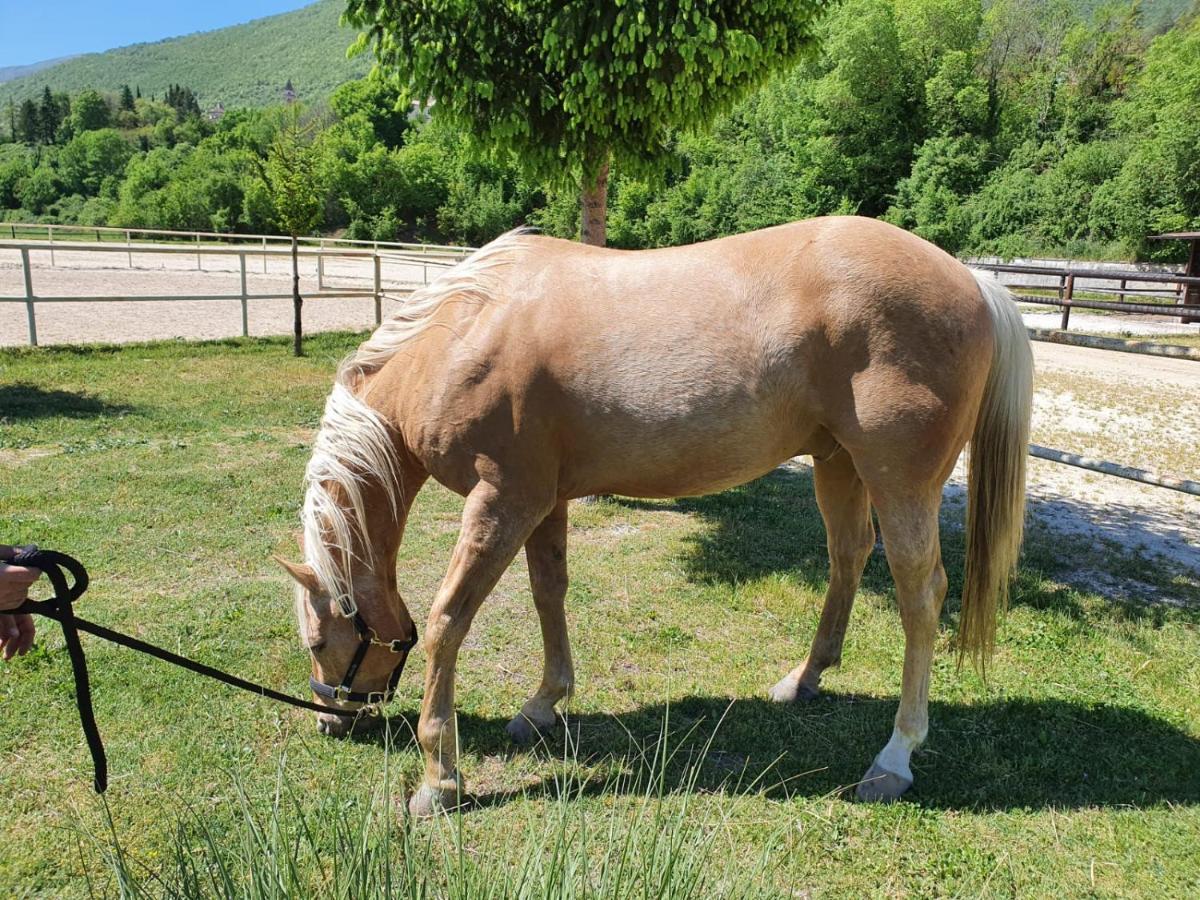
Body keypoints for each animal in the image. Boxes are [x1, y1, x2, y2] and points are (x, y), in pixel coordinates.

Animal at [278, 217, 1032, 816]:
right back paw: (804, 679)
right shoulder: (543, 499)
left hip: (899, 479)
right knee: (848, 555)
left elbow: (446, 621)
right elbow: (549, 592)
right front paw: (543, 705)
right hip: (838, 462)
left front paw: (440, 778)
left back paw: (894, 758)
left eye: (319, 640)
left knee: (920, 594)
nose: (328, 719)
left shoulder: (504, 498)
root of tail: (972, 281)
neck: (463, 328)